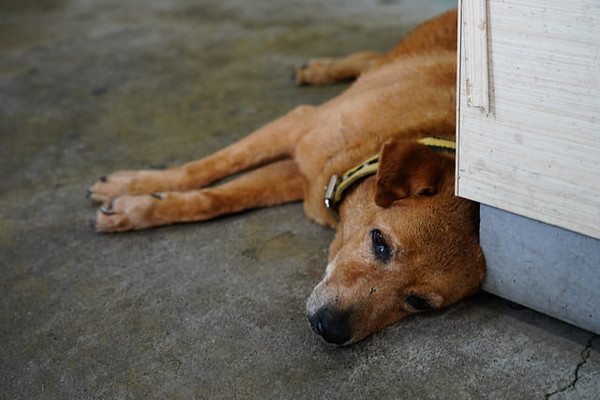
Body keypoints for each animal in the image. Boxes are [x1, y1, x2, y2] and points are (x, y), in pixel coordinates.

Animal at [86, 10, 486, 346]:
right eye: (380, 242)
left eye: (418, 301)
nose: (330, 329)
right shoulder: (296, 126)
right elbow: (206, 169)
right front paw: (128, 189)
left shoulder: (302, 176)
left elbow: (218, 199)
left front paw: (135, 208)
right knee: (371, 56)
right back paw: (320, 68)